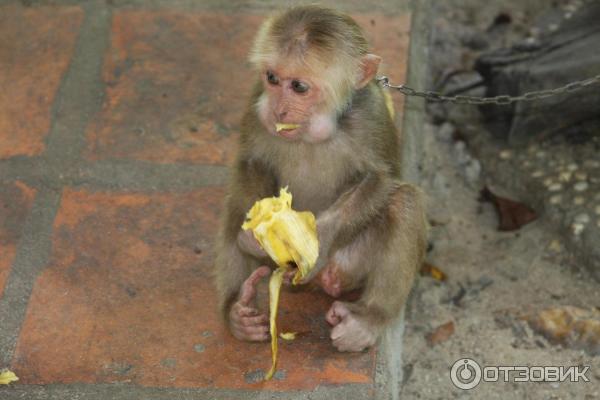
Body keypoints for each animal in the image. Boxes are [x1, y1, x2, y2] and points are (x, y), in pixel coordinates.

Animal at [214, 4, 426, 352]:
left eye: (299, 87)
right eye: (272, 78)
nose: (279, 110)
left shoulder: (370, 115)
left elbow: (380, 179)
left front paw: (319, 240)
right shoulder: (257, 102)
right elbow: (251, 163)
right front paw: (253, 238)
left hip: (353, 262)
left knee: (405, 201)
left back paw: (369, 317)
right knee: (235, 207)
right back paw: (236, 309)